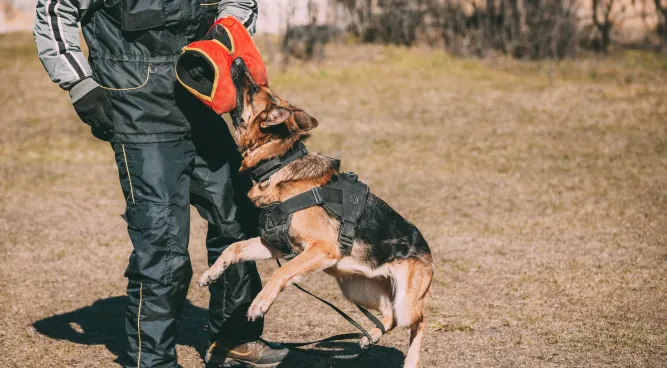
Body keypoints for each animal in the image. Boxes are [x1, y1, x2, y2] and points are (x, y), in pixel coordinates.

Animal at [198, 58, 436, 368]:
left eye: (254, 90)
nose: (237, 61)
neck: (277, 164)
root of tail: (427, 250)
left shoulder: (320, 248)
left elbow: (282, 272)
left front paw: (260, 303)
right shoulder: (275, 245)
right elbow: (234, 248)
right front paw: (211, 273)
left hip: (405, 301)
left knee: (419, 319)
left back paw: (410, 358)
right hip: (356, 287)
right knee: (390, 315)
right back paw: (370, 335)